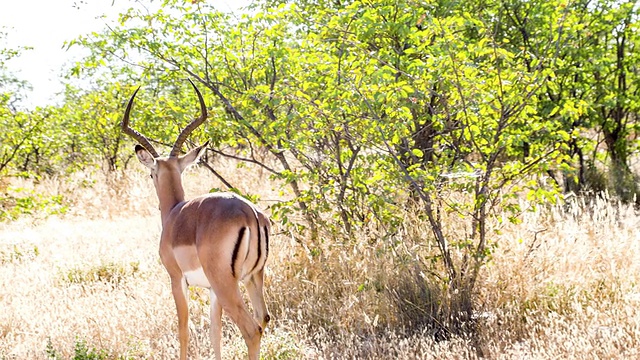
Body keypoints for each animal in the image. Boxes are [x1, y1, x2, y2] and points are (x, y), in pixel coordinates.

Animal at [122, 79, 270, 360]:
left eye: (151, 174)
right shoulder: (211, 291)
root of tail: (250, 213)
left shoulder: (177, 279)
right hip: (252, 278)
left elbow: (183, 330)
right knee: (264, 318)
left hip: (227, 284)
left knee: (251, 330)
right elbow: (215, 335)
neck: (174, 214)